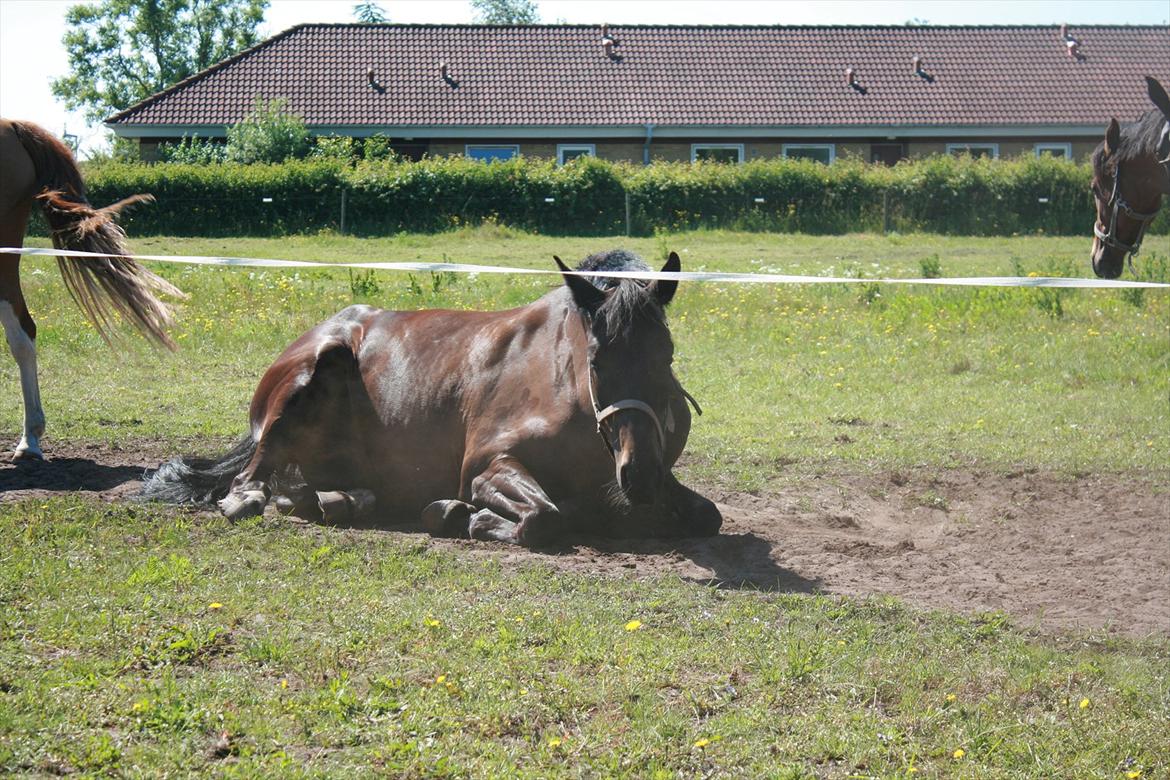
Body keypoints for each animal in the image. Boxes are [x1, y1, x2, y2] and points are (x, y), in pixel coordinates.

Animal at [141, 250, 716, 542]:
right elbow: (546, 517)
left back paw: (337, 500)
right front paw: (468, 516)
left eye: (666, 356)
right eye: (597, 360)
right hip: (309, 374)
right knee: (248, 479)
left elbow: (708, 515)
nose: (638, 474)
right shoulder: (486, 466)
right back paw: (262, 498)